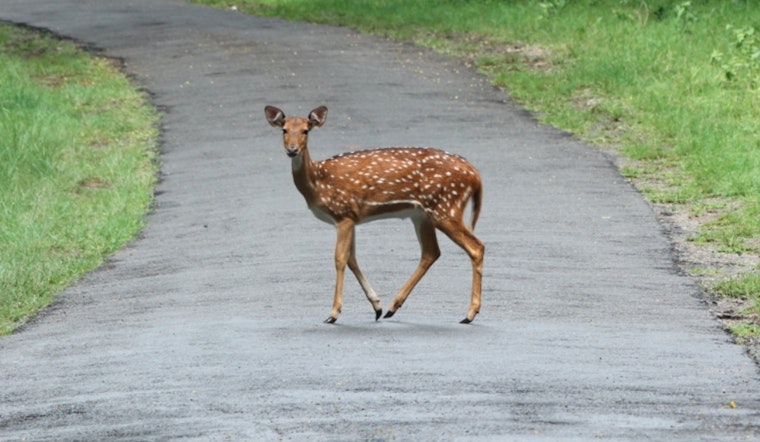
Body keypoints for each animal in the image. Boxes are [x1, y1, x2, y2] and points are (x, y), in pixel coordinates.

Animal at [264, 105, 484, 324]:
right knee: (431, 252)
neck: (318, 183)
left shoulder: (343, 213)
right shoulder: (352, 218)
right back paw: (392, 307)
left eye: (306, 130)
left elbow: (340, 259)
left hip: (445, 206)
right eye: (284, 130)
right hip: (422, 215)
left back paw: (470, 313)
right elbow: (352, 259)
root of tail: (475, 174)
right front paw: (376, 306)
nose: (292, 150)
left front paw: (333, 313)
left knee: (476, 247)